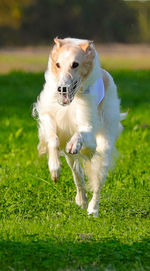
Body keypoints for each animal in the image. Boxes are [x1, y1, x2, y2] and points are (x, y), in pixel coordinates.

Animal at [33, 37, 126, 217]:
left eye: (75, 64)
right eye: (58, 64)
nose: (61, 89)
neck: (72, 100)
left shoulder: (88, 124)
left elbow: (81, 133)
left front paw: (74, 143)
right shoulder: (48, 116)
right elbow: (53, 139)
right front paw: (54, 169)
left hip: (104, 145)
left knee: (97, 183)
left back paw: (93, 209)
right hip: (71, 159)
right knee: (78, 176)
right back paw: (81, 199)